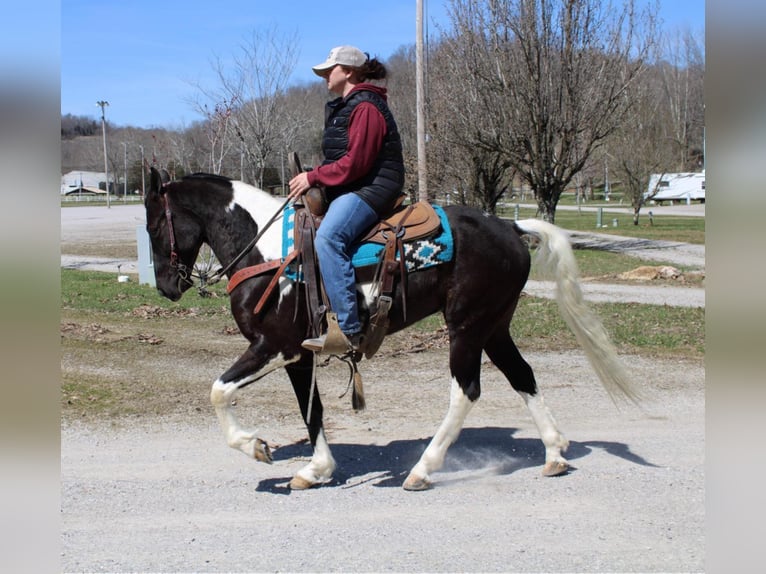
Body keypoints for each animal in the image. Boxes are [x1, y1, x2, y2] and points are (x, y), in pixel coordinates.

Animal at [146, 169, 640, 492]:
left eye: (153, 225)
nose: (167, 287)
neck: (267, 251)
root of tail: (509, 224)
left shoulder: (275, 345)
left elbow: (219, 391)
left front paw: (257, 447)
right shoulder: (299, 354)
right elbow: (313, 411)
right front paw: (315, 470)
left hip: (466, 325)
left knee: (466, 390)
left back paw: (423, 469)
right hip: (495, 325)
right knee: (523, 376)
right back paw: (554, 454)